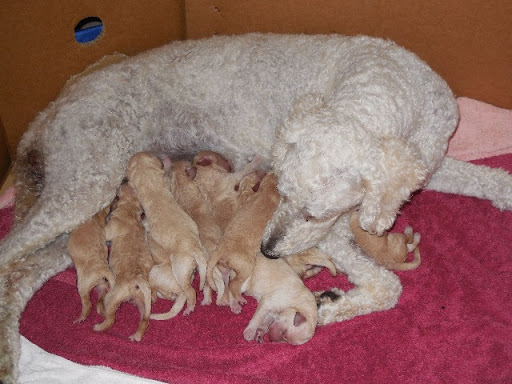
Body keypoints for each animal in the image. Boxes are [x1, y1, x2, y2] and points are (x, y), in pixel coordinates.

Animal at [94, 184, 153, 342]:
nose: (124, 180)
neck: (130, 209)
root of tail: (138, 279)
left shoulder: (109, 230)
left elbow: (105, 230)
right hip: (143, 301)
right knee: (144, 320)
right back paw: (136, 336)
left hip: (113, 297)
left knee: (110, 318)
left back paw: (99, 324)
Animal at [126, 153, 208, 318]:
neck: (148, 178)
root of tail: (194, 248)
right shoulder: (165, 181)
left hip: (178, 269)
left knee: (189, 292)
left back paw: (189, 307)